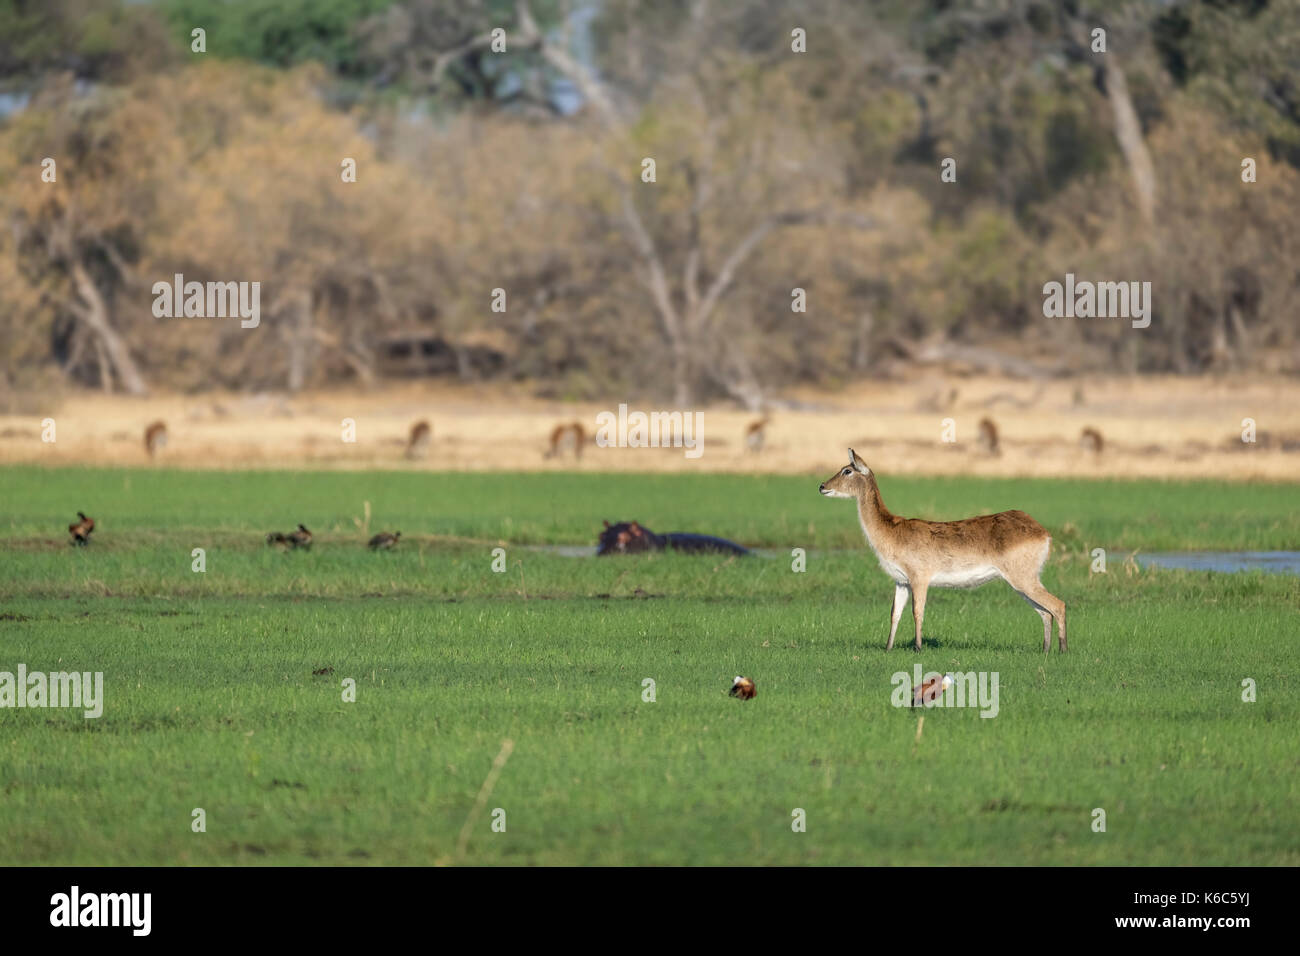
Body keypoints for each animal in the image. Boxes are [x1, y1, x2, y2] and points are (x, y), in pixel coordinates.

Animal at [821, 452, 1066, 655]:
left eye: (847, 470)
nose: (822, 486)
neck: (892, 531)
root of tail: (1043, 532)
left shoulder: (920, 578)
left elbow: (917, 611)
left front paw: (918, 648)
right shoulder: (901, 581)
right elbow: (894, 613)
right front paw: (887, 648)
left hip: (1022, 578)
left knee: (1058, 605)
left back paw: (1062, 651)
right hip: (1022, 582)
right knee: (1045, 612)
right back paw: (1045, 650)